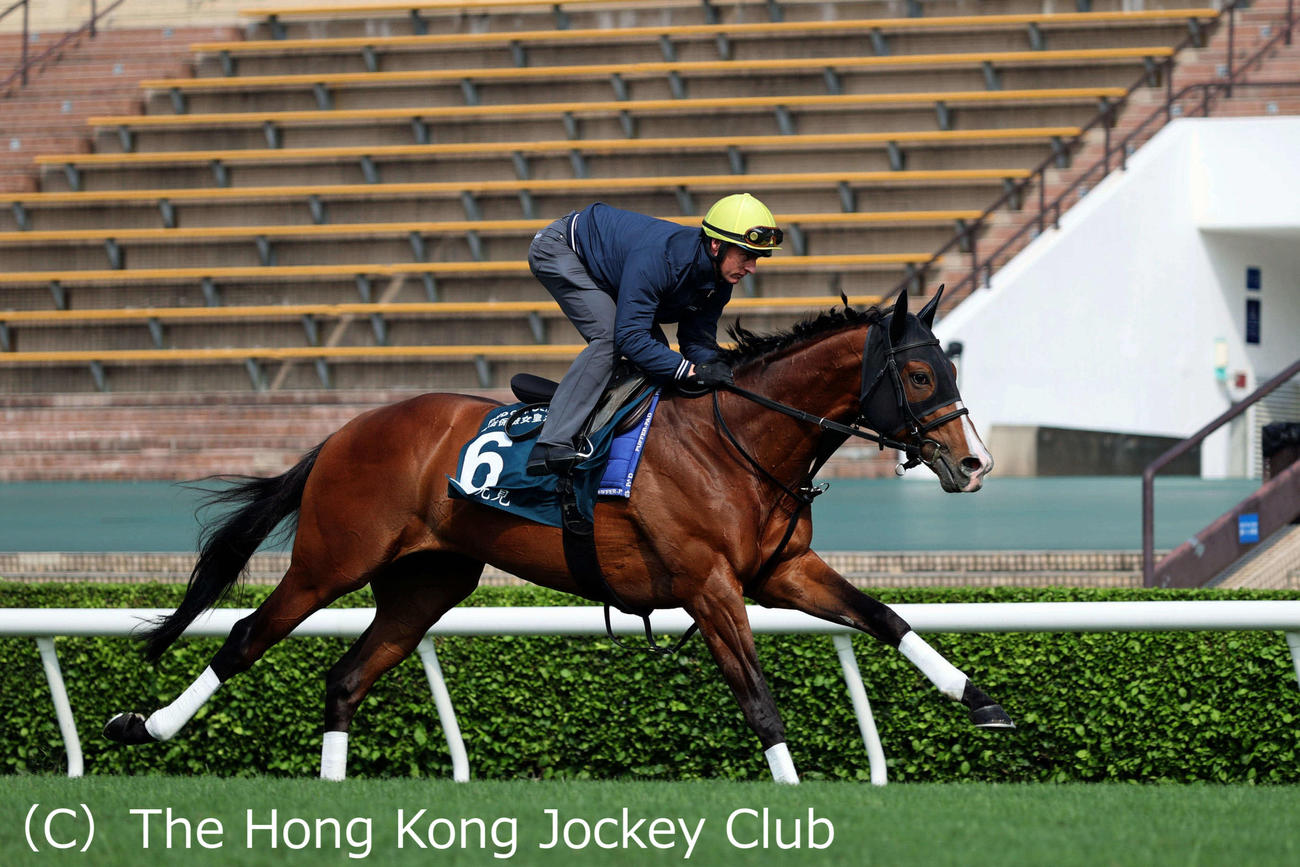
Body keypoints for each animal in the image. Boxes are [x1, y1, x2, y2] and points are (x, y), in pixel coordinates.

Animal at [104, 287, 1012, 784]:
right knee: (246, 635)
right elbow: (759, 698)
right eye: (921, 373)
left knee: (345, 677)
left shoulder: (782, 569)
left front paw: (982, 700)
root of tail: (346, 430)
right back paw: (143, 726)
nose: (975, 462)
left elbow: (885, 616)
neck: (738, 438)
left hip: (428, 582)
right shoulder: (711, 586)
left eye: (953, 366)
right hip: (330, 560)